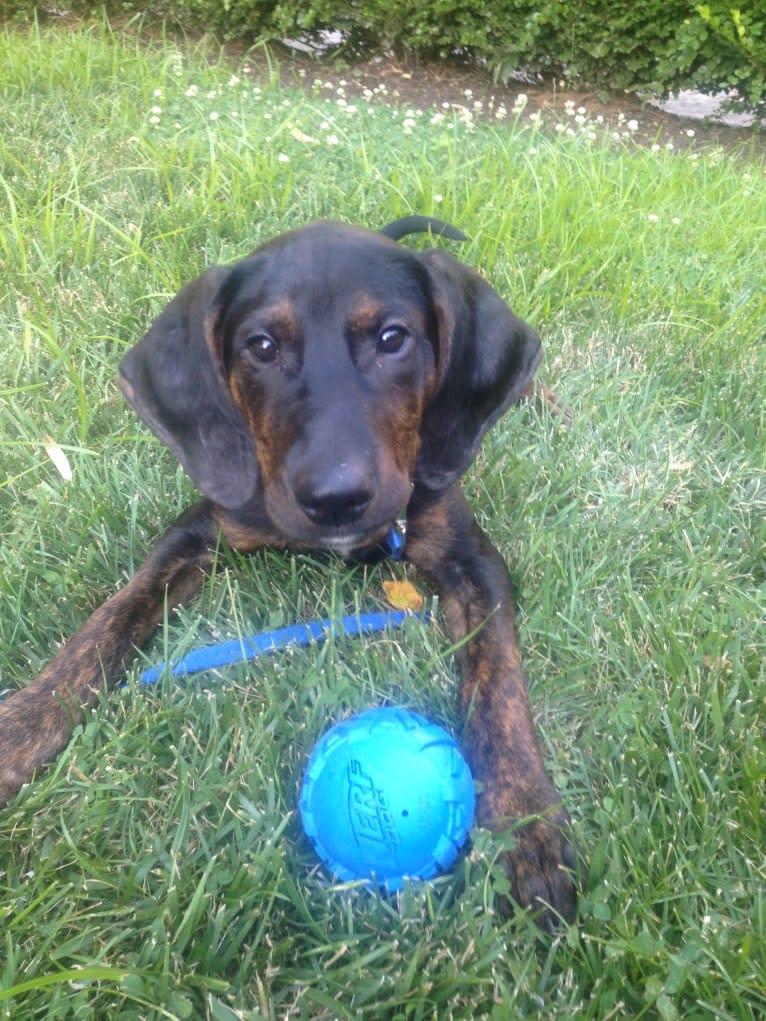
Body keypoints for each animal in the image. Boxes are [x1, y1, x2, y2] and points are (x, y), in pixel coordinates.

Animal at [0, 219, 576, 931]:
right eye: (262, 346)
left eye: (394, 338)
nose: (336, 498)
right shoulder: (199, 532)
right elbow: (106, 624)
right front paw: (22, 726)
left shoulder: (472, 560)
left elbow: (501, 687)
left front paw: (528, 824)